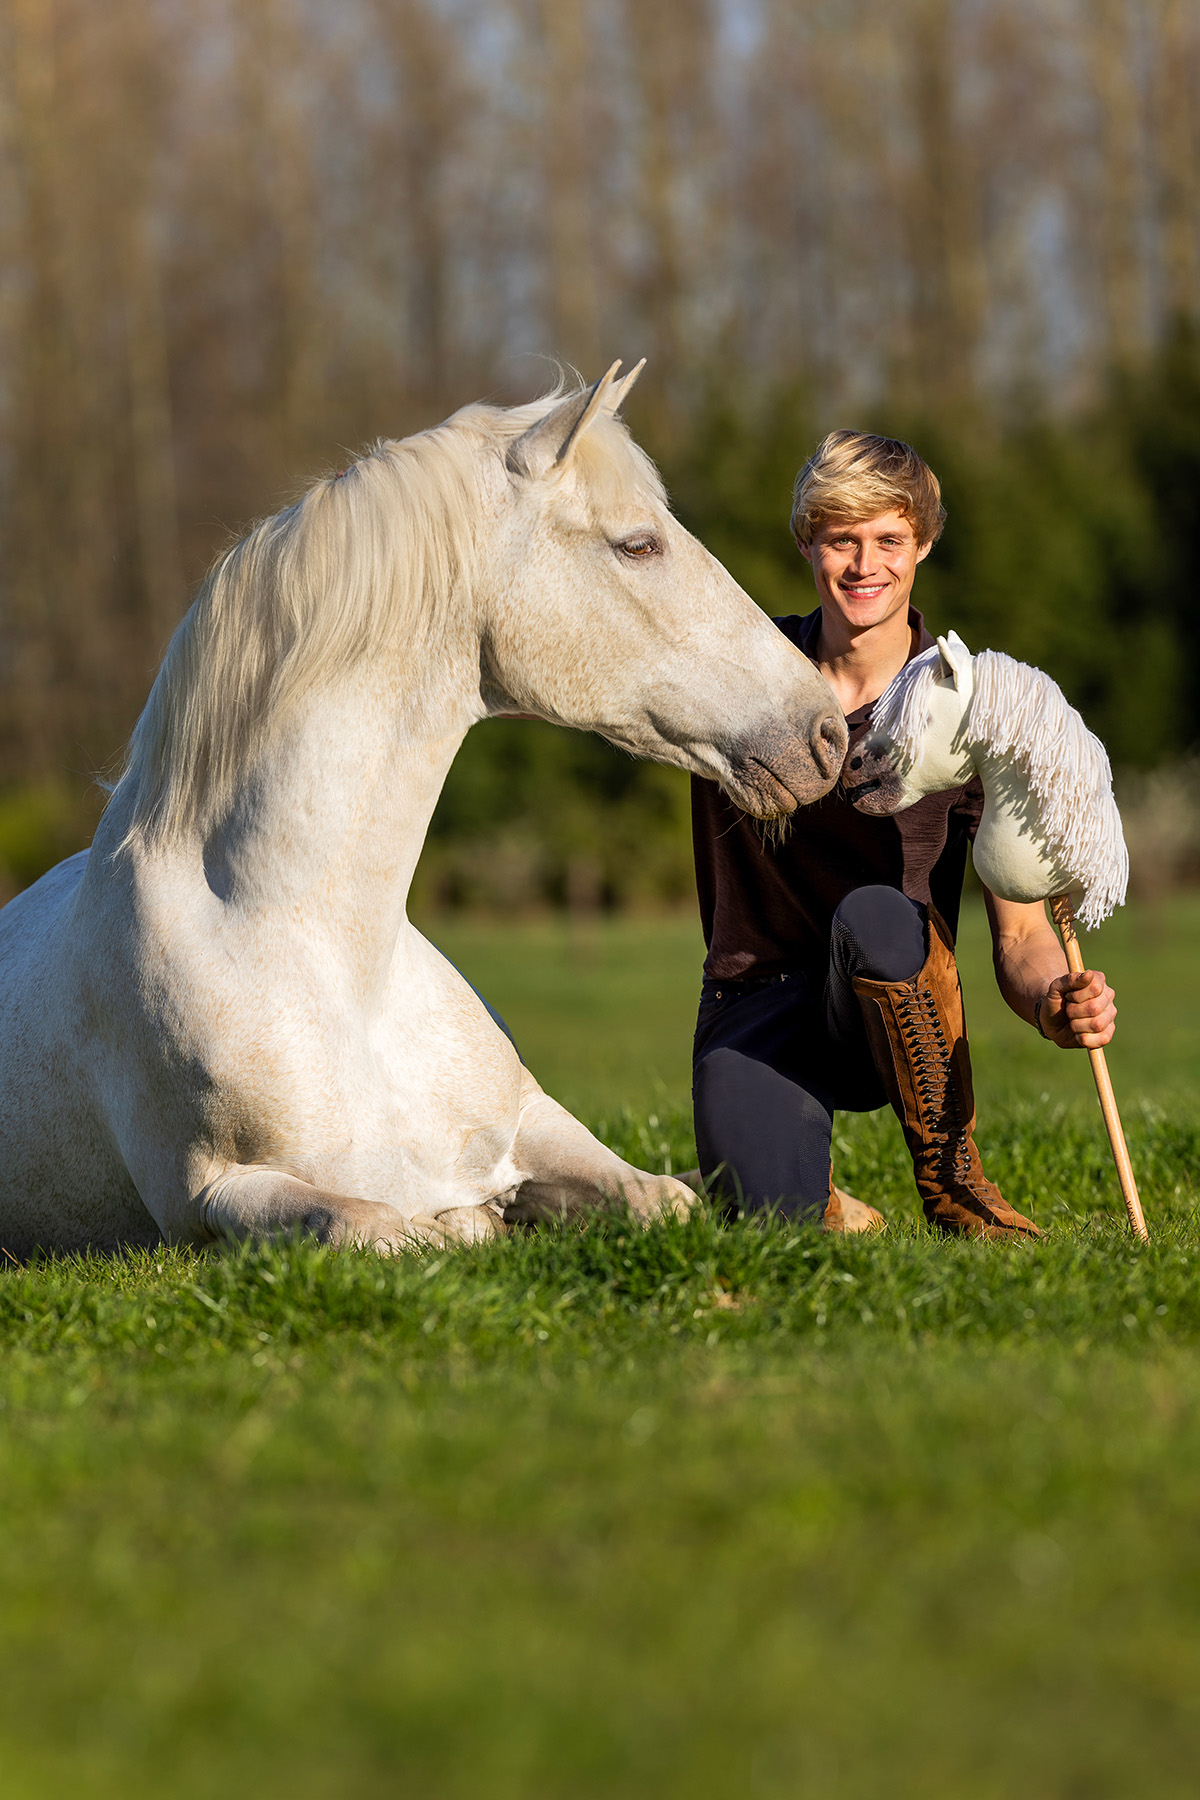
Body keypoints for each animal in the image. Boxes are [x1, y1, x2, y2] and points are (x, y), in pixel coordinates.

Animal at [0, 362, 847, 1258]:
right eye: (638, 544)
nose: (825, 730)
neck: (330, 961)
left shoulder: (533, 1120)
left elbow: (662, 1198)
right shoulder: (209, 1198)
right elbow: (381, 1226)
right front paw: (467, 1220)